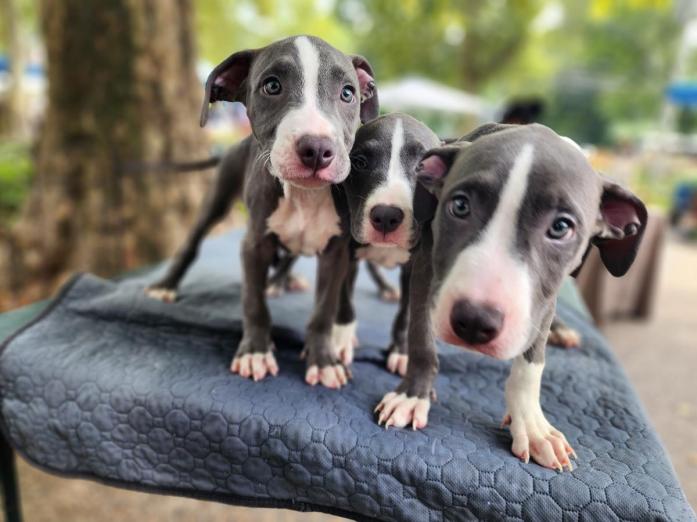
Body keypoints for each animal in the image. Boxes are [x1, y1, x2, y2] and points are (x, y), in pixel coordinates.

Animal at [143, 35, 378, 386]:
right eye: (272, 85)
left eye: (348, 93)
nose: (317, 149)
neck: (303, 196)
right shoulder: (254, 244)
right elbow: (254, 303)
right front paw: (255, 351)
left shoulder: (335, 252)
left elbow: (324, 310)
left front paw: (323, 360)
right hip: (217, 199)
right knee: (192, 244)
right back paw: (166, 286)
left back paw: (282, 281)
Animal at [328, 112, 438, 374]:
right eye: (359, 163)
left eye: (424, 167)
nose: (386, 215)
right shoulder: (347, 254)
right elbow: (344, 299)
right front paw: (341, 339)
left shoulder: (414, 267)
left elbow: (408, 312)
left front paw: (401, 350)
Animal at [376, 124, 648, 470]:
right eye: (460, 206)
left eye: (561, 227)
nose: (474, 322)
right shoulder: (426, 266)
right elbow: (422, 338)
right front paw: (412, 396)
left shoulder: (542, 299)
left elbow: (531, 364)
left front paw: (531, 425)